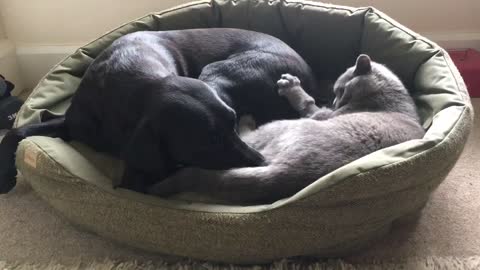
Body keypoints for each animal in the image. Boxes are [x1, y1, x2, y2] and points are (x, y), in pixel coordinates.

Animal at [0, 28, 322, 193]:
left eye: (232, 123)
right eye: (207, 142)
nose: (263, 163)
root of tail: (310, 77)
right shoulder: (75, 123)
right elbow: (17, 131)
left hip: (216, 73)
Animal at [149, 53, 424, 204]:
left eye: (340, 90)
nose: (334, 102)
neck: (387, 99)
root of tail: (285, 174)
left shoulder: (321, 114)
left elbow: (306, 101)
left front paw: (290, 85)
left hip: (276, 127)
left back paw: (246, 119)